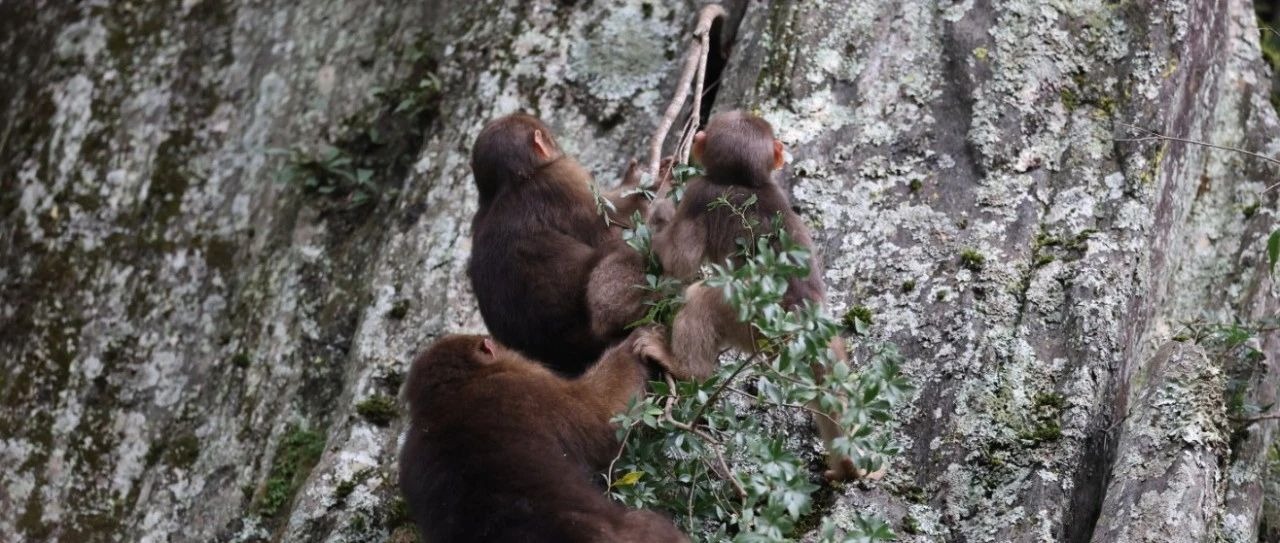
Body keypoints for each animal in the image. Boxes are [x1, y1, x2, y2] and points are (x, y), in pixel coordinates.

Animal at [465, 113, 655, 376]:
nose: (558, 146)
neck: (505, 187)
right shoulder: (562, 177)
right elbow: (611, 228)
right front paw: (635, 183)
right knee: (625, 251)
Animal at [650, 109, 860, 478]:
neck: (748, 183)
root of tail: (801, 321)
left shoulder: (699, 194)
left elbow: (680, 260)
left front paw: (659, 214)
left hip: (750, 321)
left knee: (702, 297)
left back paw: (685, 369)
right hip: (822, 339)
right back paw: (845, 467)